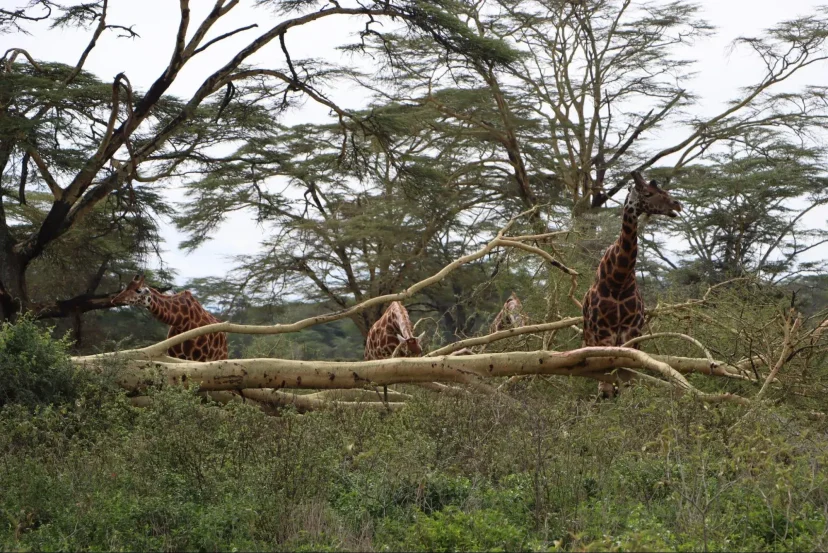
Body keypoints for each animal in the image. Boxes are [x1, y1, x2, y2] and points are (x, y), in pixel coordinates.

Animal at [580, 169, 684, 396]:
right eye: (647, 193)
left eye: (662, 189)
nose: (677, 204)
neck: (618, 280)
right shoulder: (604, 333)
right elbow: (608, 384)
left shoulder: (632, 333)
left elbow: (627, 382)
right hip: (591, 339)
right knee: (602, 382)